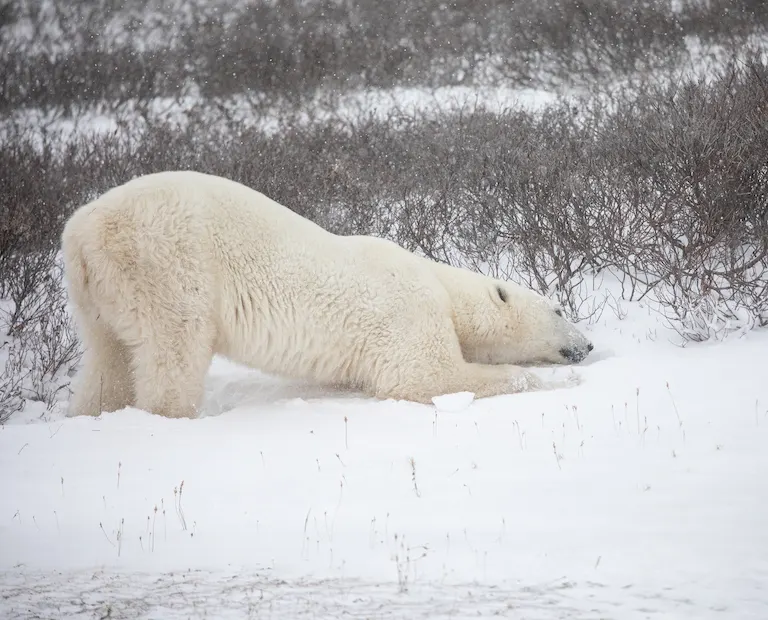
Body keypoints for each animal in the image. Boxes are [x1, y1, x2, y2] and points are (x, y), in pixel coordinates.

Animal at [61, 170, 593, 419]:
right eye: (558, 307)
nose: (587, 345)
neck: (439, 283)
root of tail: (81, 232)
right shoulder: (408, 312)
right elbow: (424, 376)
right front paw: (550, 382)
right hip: (165, 263)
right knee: (175, 349)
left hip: (100, 294)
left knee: (108, 359)